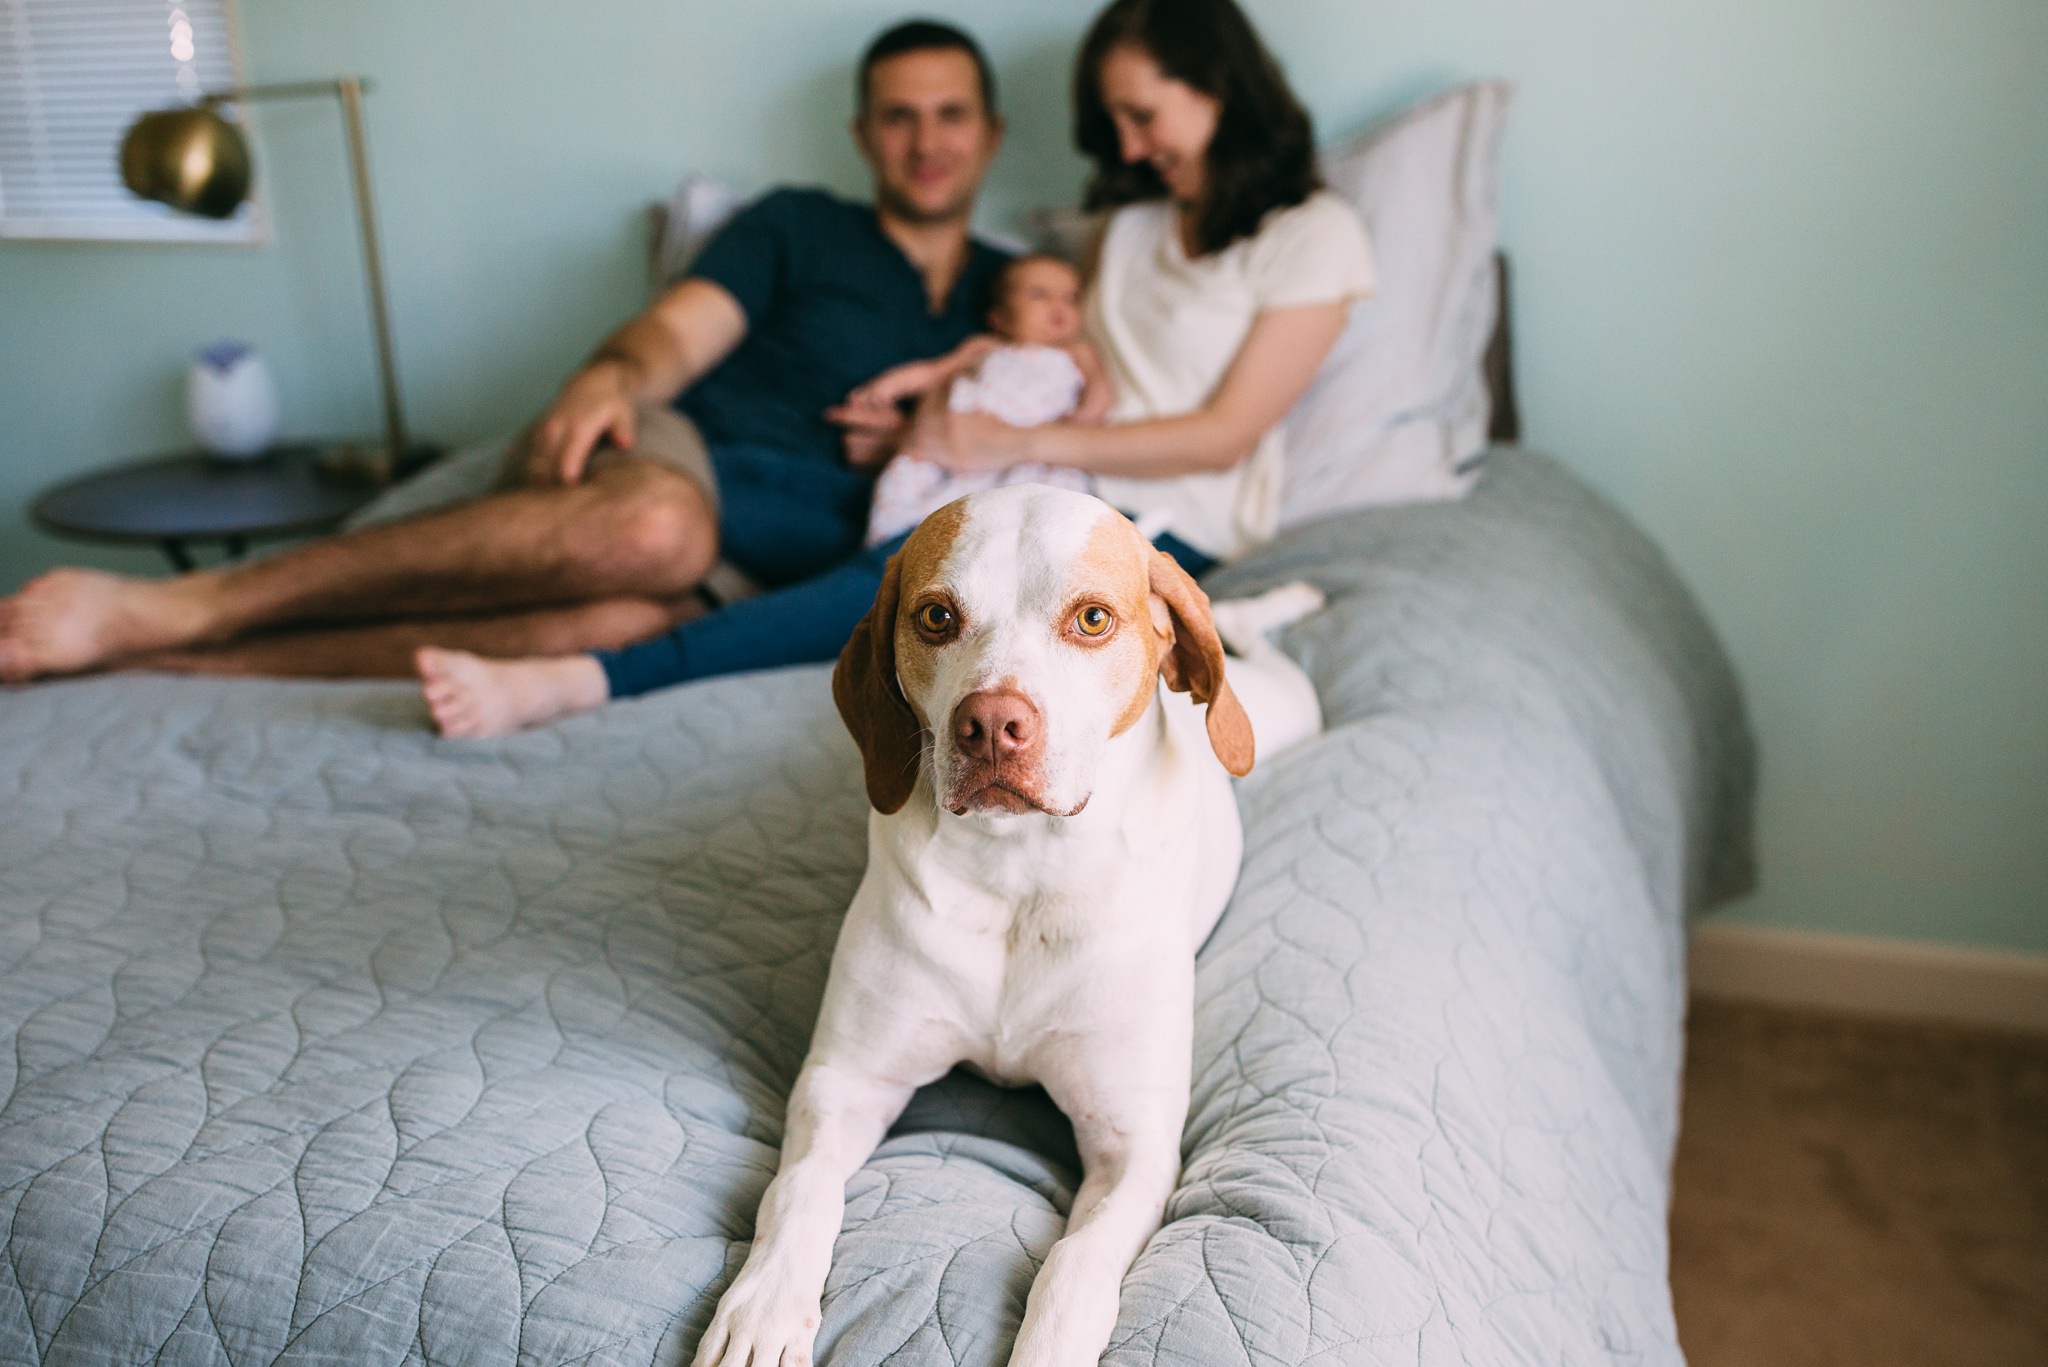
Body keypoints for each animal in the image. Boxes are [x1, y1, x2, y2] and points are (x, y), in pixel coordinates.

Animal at [696, 485, 1318, 1360]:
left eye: (1091, 618)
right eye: (935, 616)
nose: (990, 723)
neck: (1020, 876)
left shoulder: (1133, 1144)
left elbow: (1074, 1265)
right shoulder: (844, 1079)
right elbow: (799, 1187)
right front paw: (762, 1306)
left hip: (1285, 710)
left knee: (1254, 636)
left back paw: (1286, 598)